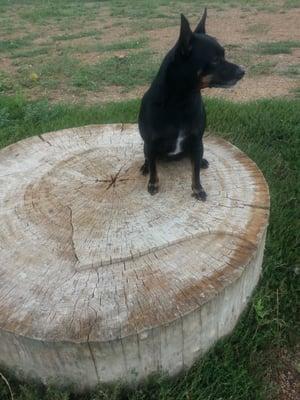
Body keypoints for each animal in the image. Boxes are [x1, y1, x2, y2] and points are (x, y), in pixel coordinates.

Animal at [139, 10, 246, 200]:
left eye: (224, 55)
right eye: (215, 59)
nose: (243, 71)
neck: (181, 101)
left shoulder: (196, 141)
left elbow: (195, 171)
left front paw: (197, 189)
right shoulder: (150, 144)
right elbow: (153, 167)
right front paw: (153, 183)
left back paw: (202, 161)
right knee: (148, 159)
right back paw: (145, 166)